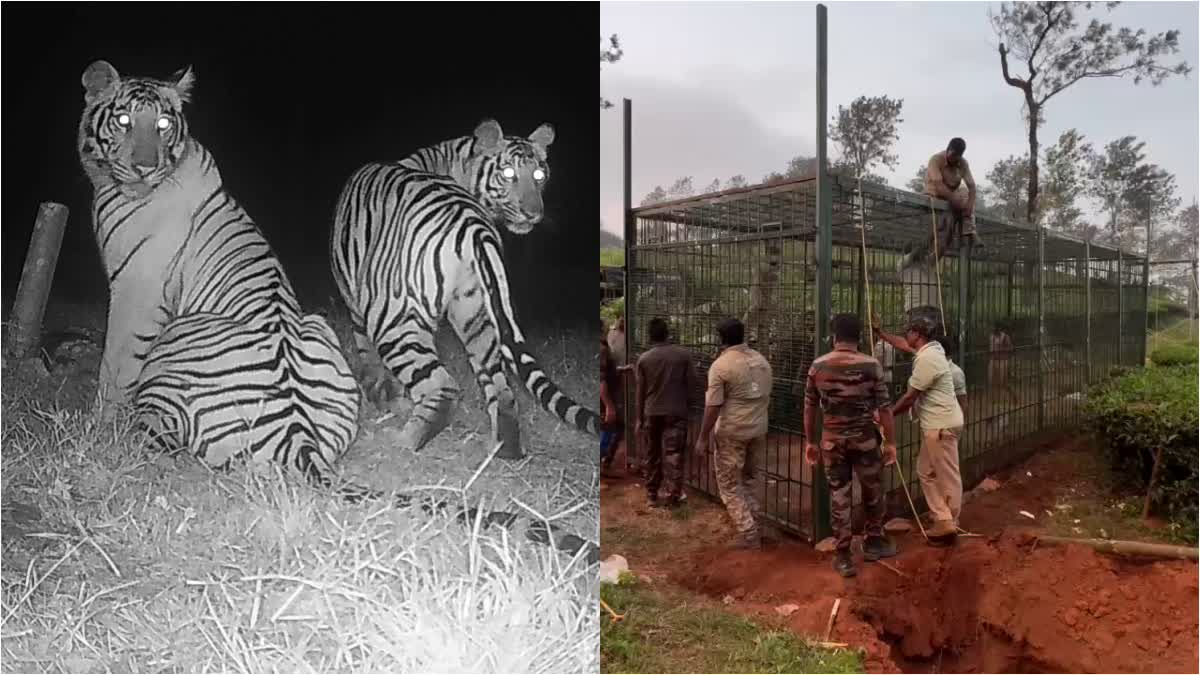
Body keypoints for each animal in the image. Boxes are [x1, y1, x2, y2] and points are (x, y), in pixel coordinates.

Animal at [78, 59, 360, 487]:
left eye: (163, 123)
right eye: (124, 120)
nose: (145, 168)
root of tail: (296, 432)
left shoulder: (134, 292)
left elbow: (115, 363)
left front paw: (99, 426)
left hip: (179, 334)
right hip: (317, 323)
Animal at [328, 119, 600, 456]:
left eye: (538, 174)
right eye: (508, 173)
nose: (533, 213)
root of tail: (473, 223)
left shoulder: (358, 303)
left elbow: (367, 355)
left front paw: (384, 397)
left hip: (395, 318)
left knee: (442, 386)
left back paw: (404, 441)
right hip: (477, 315)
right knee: (503, 391)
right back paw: (505, 450)